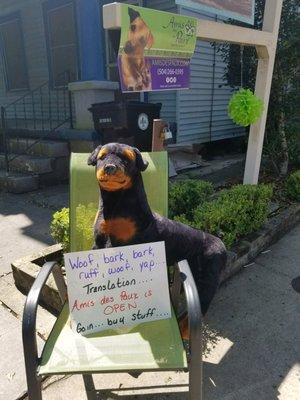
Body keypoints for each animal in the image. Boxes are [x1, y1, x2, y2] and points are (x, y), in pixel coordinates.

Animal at [88, 144, 226, 338]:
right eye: (102, 157)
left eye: (127, 159)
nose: (110, 168)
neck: (115, 206)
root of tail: (221, 243)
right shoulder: (98, 243)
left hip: (208, 280)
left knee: (202, 305)